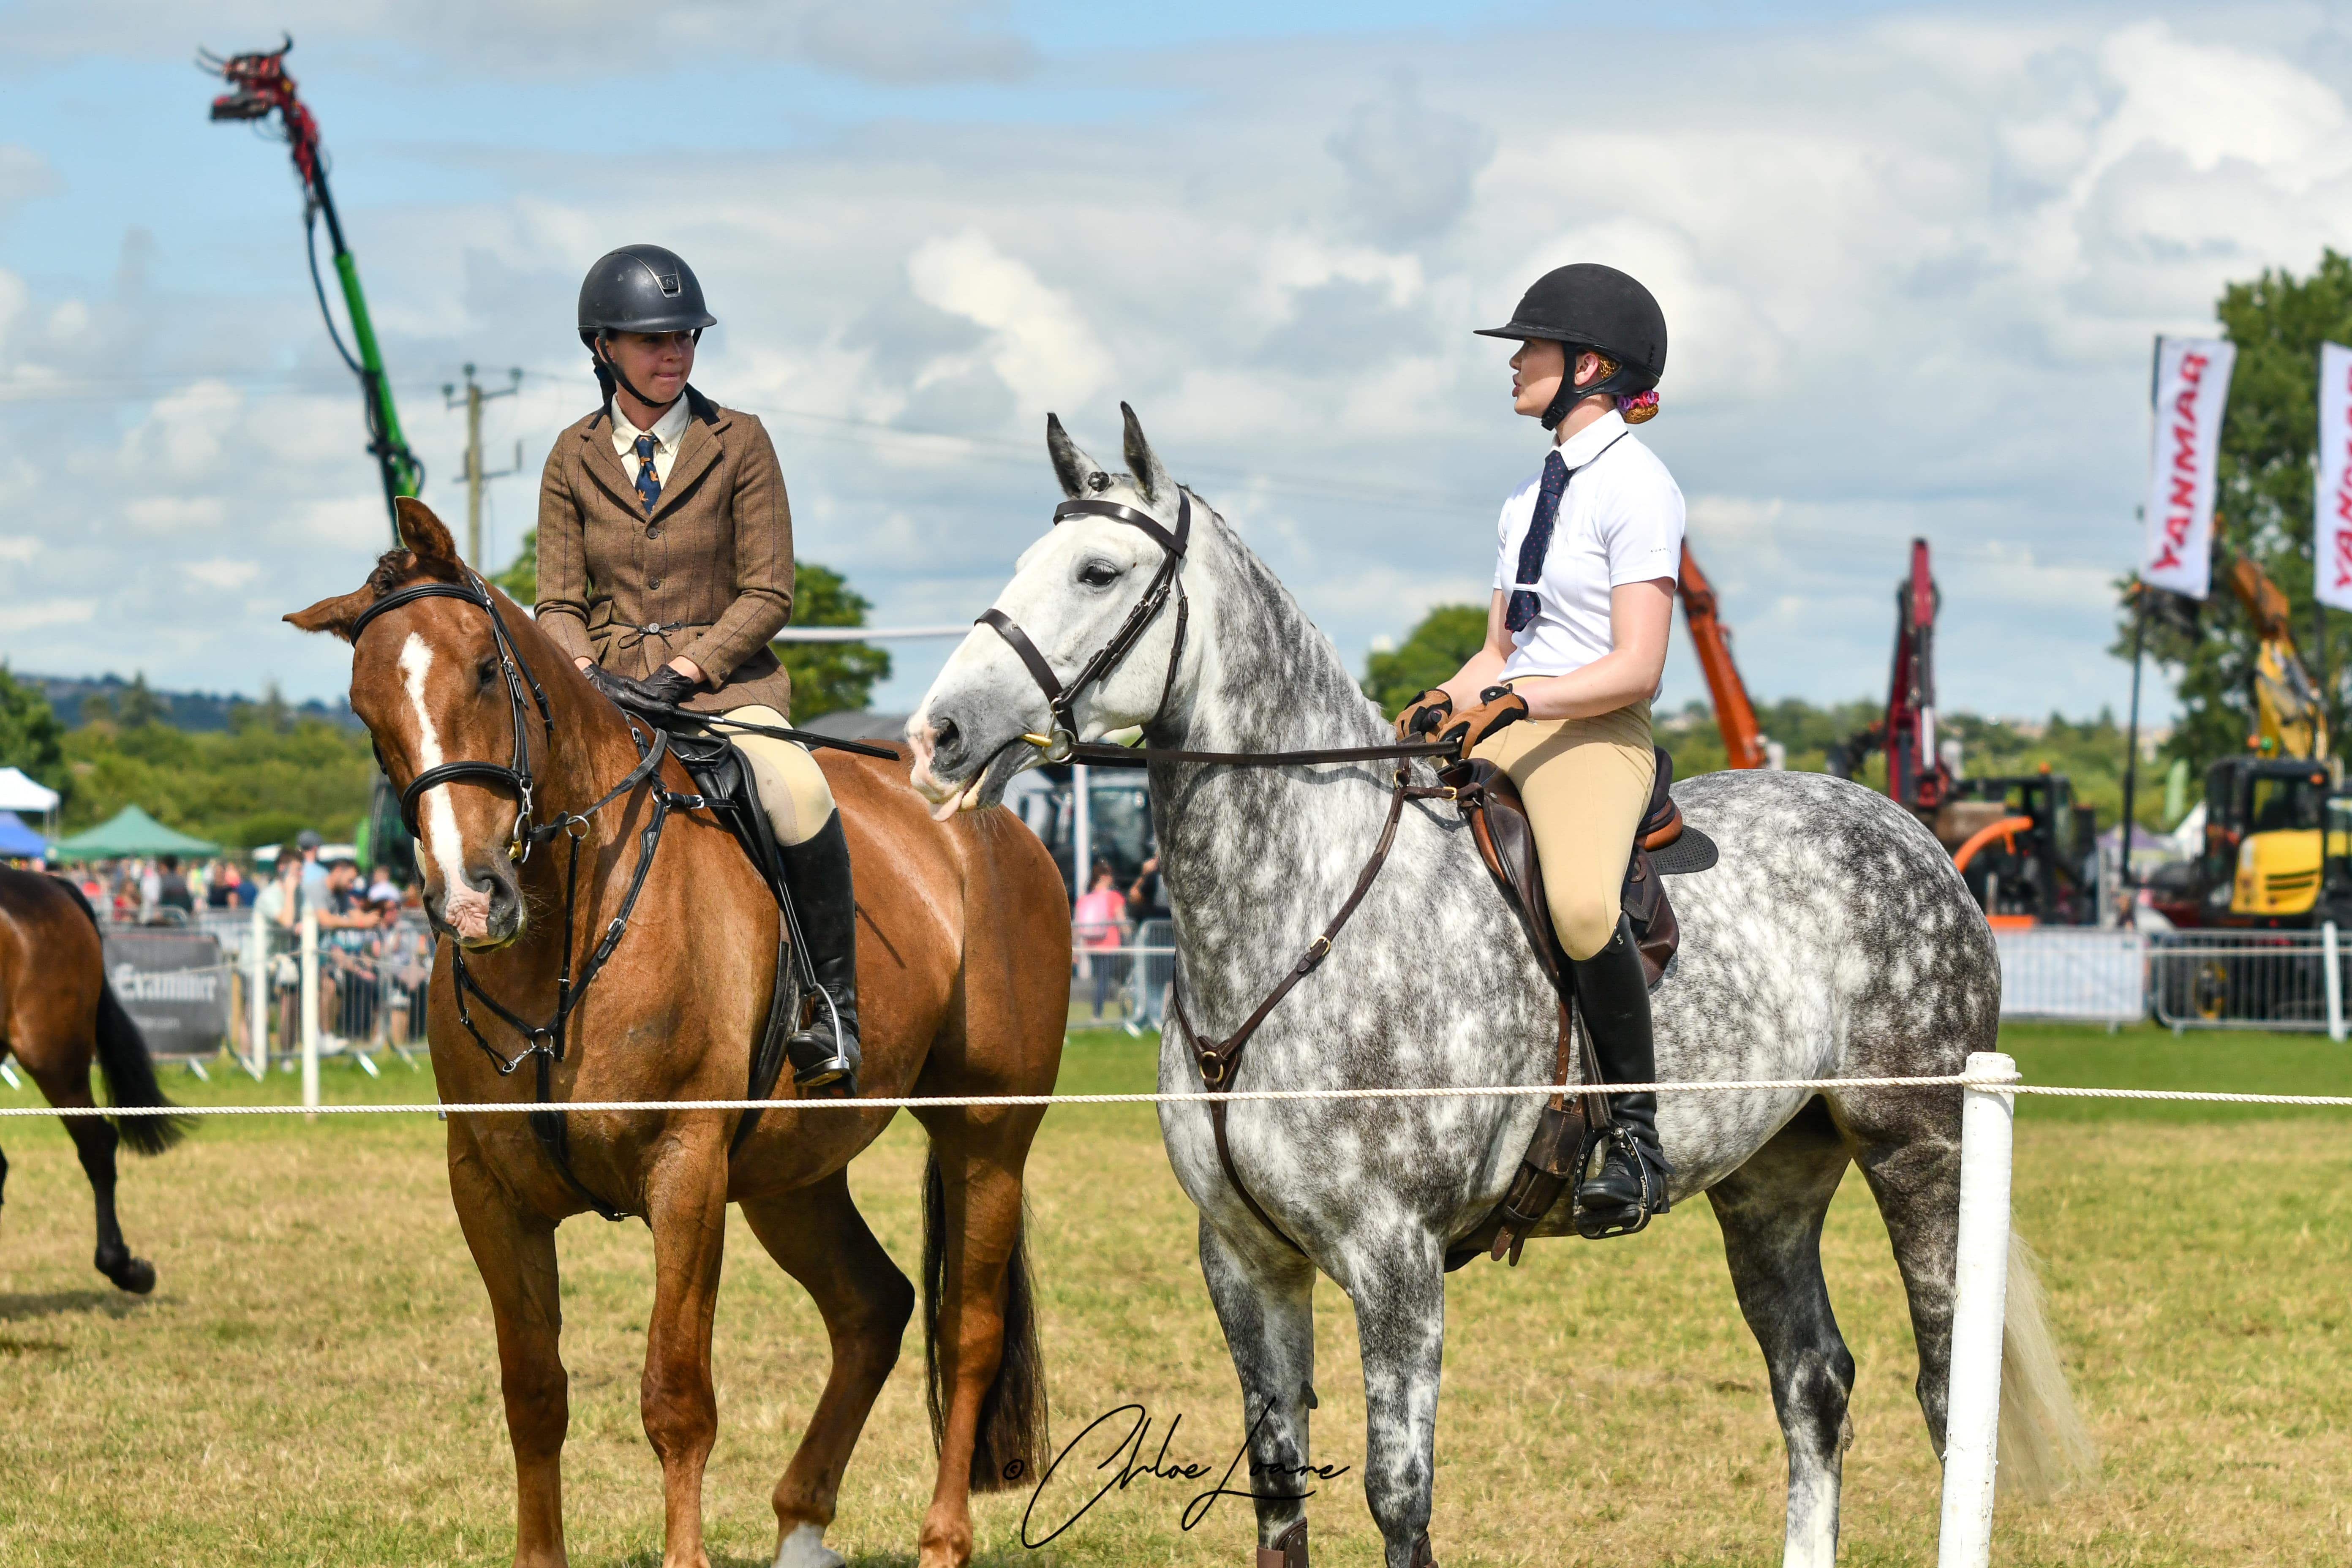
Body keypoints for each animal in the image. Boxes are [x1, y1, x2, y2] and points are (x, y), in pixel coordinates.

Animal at [287, 498, 1071, 1568]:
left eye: (485, 669)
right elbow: (534, 1393)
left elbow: (676, 1395)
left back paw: (942, 1538)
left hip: (985, 1131)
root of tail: (992, 823)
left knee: (970, 1326)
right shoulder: (489, 1190)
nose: (472, 899)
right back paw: (802, 1525)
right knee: (873, 1305)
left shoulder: (686, 1171)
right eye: (369, 712)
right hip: (792, 1173)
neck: (563, 937)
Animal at [905, 406, 2091, 1568]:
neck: (1301, 910)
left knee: (1946, 1390)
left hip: (1918, 1149)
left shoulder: (1395, 1258)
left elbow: (1399, 1494)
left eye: (1098, 572)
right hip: (1771, 1177)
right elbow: (1279, 1489)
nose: (937, 734)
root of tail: (1914, 832)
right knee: (1811, 1381)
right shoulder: (1244, 1258)